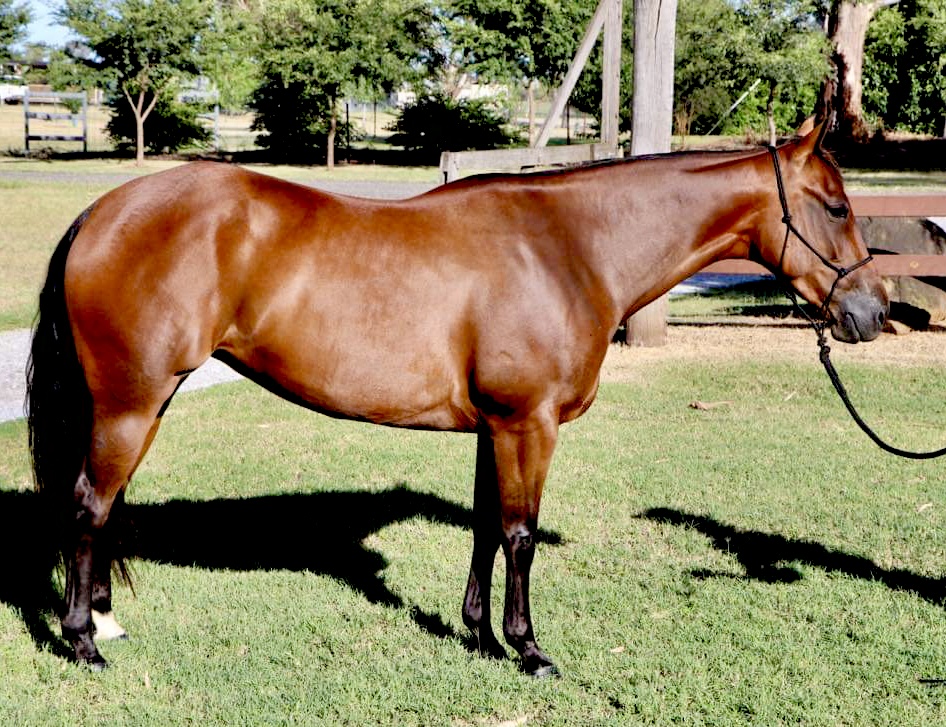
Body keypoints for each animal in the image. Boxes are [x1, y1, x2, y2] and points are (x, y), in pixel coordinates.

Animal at [27, 124, 887, 674]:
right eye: (837, 207)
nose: (872, 313)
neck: (568, 246)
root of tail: (100, 212)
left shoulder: (492, 427)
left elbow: (483, 526)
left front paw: (477, 635)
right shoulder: (528, 424)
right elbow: (521, 534)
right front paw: (529, 649)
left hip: (142, 403)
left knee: (104, 509)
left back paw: (105, 616)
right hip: (130, 404)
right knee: (88, 506)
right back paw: (82, 639)